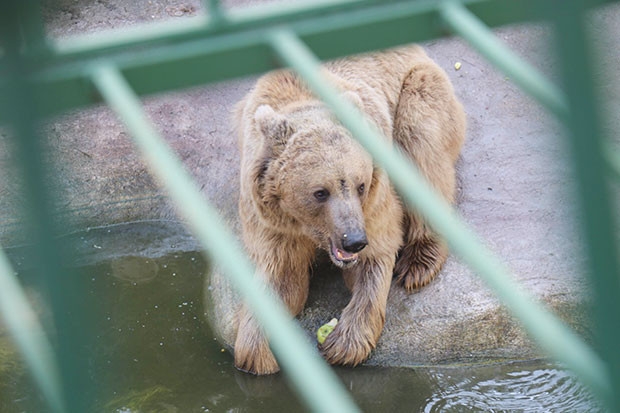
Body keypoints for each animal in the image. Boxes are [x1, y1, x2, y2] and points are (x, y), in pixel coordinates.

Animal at [232, 45, 464, 374]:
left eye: (360, 185)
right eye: (320, 192)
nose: (353, 240)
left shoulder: (374, 203)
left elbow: (375, 257)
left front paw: (342, 343)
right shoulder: (272, 222)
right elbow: (282, 278)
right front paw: (259, 354)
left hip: (417, 90)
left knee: (422, 148)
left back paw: (418, 262)